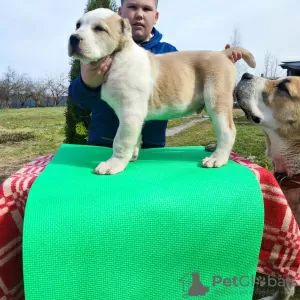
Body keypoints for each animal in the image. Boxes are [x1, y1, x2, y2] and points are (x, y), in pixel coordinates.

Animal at [68, 8, 255, 175]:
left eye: (99, 29)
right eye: (77, 25)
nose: (73, 38)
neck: (118, 57)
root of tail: (222, 54)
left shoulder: (130, 112)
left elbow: (120, 140)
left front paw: (114, 164)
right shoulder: (134, 116)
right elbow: (135, 136)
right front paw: (132, 155)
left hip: (217, 100)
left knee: (227, 130)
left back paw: (217, 158)